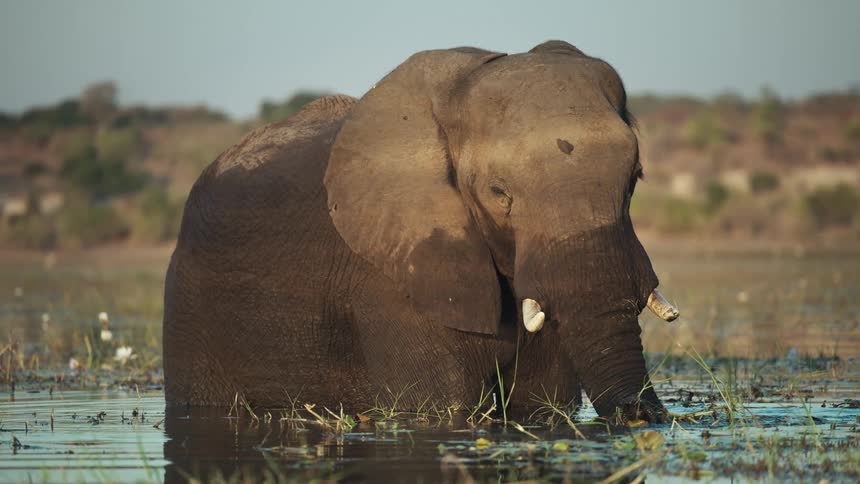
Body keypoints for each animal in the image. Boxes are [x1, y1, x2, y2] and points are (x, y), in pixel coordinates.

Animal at [163, 40, 680, 424]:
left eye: (634, 179)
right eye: (499, 193)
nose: (644, 415)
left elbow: (541, 405)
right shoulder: (388, 274)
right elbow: (440, 408)